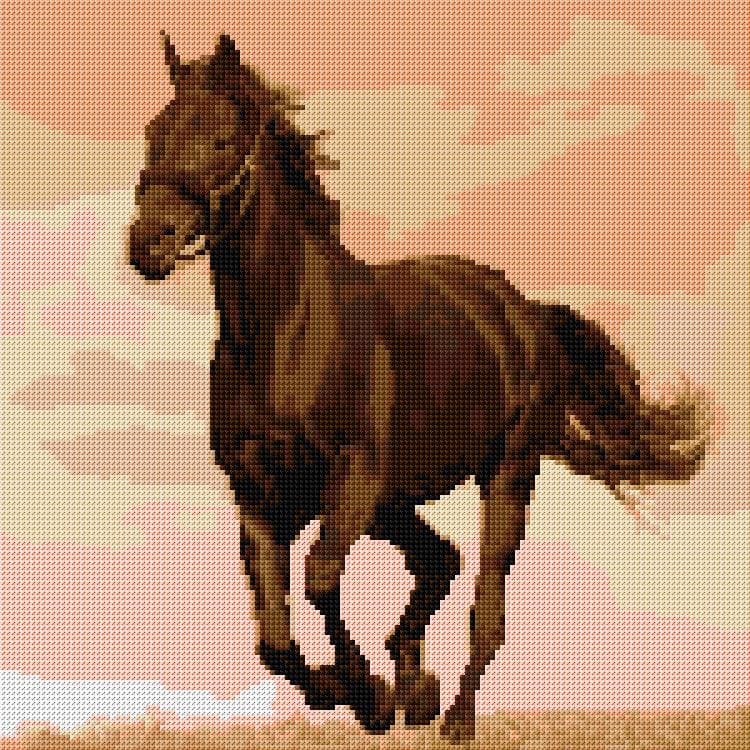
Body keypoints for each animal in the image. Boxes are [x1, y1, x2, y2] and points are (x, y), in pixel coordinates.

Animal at [128, 33, 708, 743]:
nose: (148, 243)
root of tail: (522, 310)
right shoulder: (259, 493)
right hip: (395, 502)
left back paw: (451, 715)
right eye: (154, 132)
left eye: (221, 136)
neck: (283, 335)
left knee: (485, 603)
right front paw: (356, 692)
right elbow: (275, 640)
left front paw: (369, 696)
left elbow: (320, 580)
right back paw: (415, 686)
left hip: (503, 473)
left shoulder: (352, 478)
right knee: (440, 561)